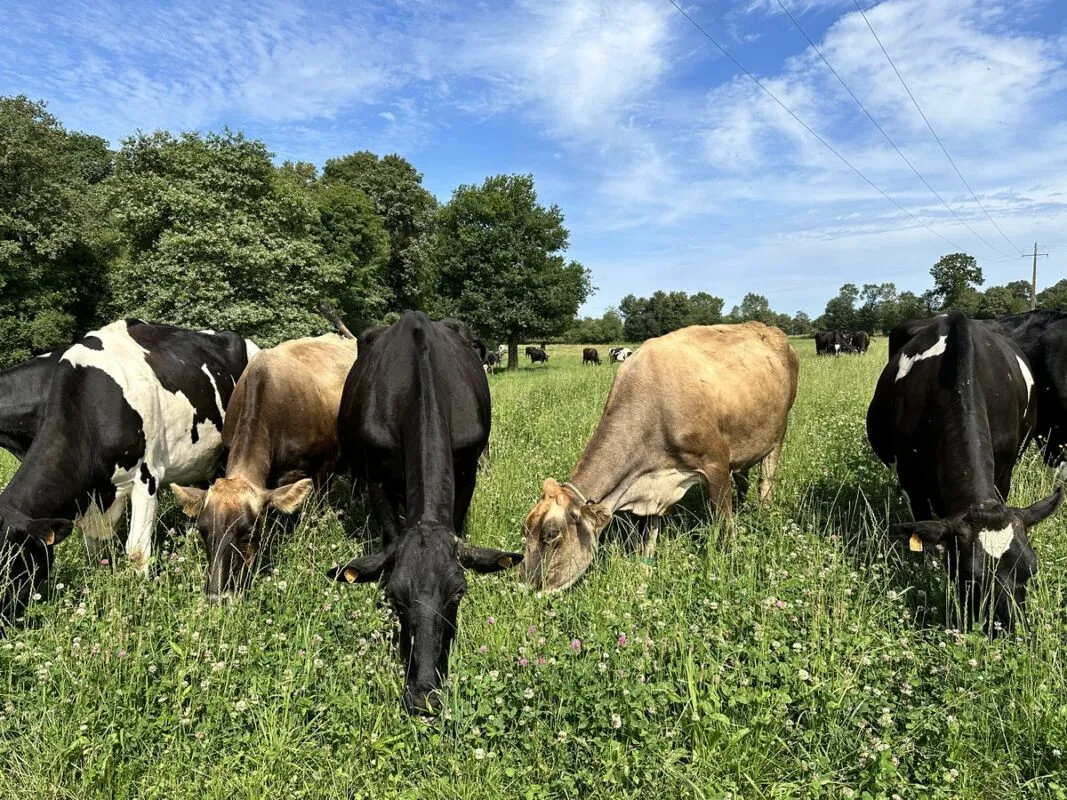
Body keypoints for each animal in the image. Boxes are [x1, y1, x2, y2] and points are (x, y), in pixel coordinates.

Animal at [327, 312, 522, 714]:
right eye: (393, 597)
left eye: (458, 593)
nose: (423, 695)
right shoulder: (375, 476)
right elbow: (389, 532)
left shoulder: (466, 470)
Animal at [520, 322, 798, 592]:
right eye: (525, 531)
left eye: (551, 535)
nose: (524, 587)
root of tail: (772, 330)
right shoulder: (653, 480)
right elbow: (650, 532)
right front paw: (645, 567)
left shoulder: (716, 462)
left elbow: (723, 523)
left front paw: (729, 558)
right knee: (744, 477)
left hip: (779, 429)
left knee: (766, 479)